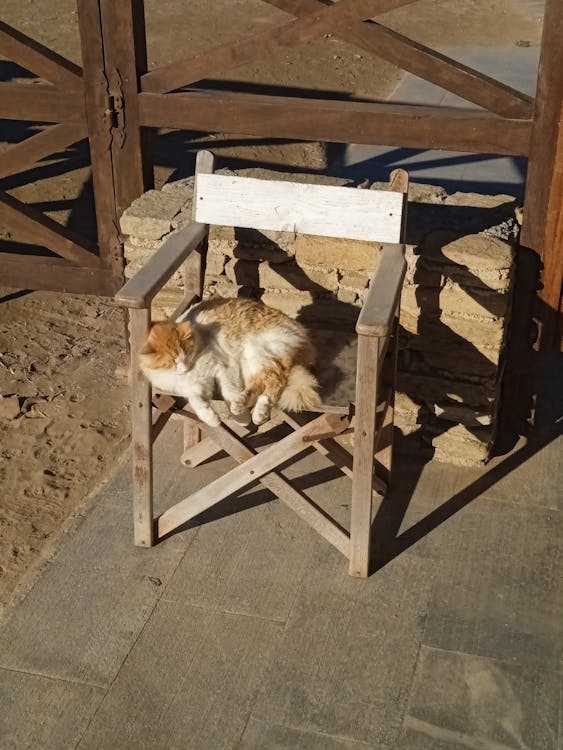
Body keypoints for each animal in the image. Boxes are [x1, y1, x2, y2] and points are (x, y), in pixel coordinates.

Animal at [139, 300, 320, 428]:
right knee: (263, 385)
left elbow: (228, 391)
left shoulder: (223, 367)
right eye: (171, 362)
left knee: (274, 381)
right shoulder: (193, 387)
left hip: (256, 353)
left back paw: (248, 410)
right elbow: (199, 404)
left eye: (187, 353)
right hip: (252, 363)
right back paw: (251, 409)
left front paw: (241, 419)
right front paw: (213, 420)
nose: (185, 367)